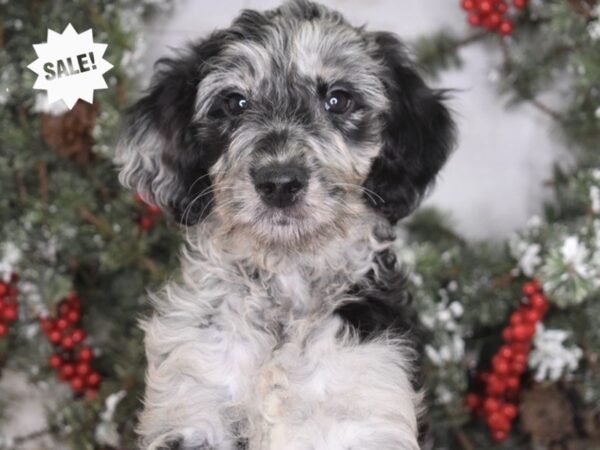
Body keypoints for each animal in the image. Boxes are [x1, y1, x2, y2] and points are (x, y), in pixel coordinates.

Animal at [116, 1, 454, 448]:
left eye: (338, 100)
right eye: (235, 103)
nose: (279, 183)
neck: (285, 288)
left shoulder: (367, 401)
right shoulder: (193, 400)